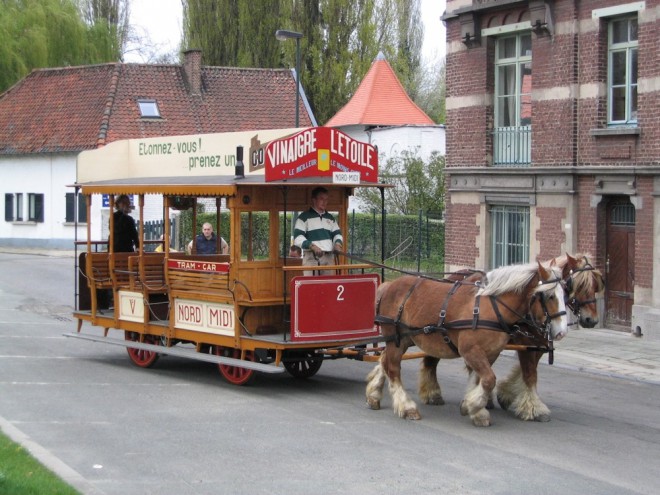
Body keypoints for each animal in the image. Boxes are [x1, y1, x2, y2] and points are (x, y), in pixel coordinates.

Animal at [366, 262, 568, 428]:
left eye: (565, 293)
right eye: (549, 296)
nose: (561, 331)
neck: (492, 308)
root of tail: (389, 285)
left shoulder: (490, 352)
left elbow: (480, 379)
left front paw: (473, 406)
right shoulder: (470, 350)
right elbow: (490, 379)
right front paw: (474, 406)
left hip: (405, 339)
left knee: (384, 361)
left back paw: (374, 394)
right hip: (396, 338)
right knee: (392, 367)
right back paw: (407, 406)